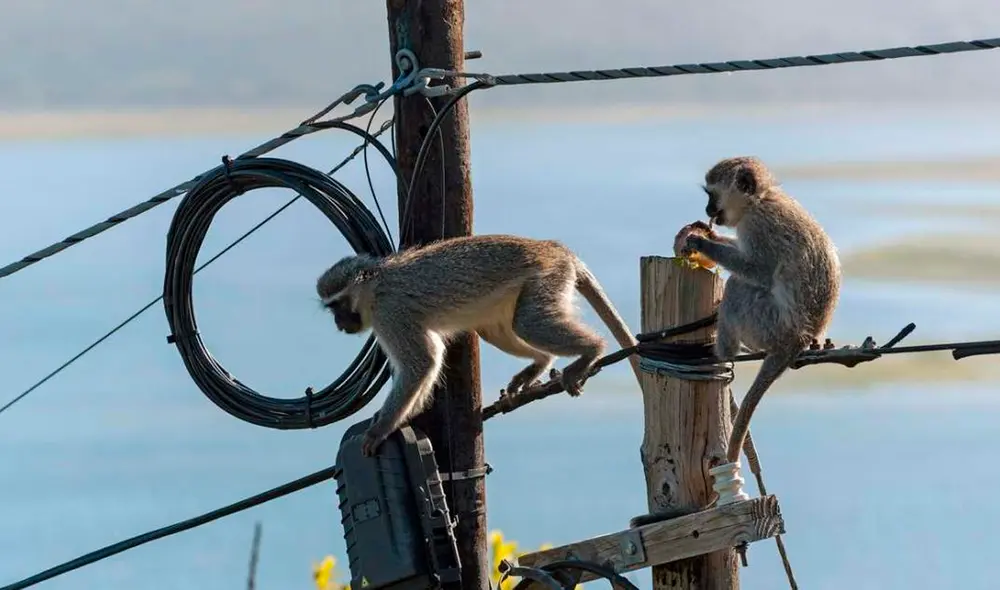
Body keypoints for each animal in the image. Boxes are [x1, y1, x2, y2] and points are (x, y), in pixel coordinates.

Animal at [316, 234, 643, 457]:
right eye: (331, 308)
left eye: (338, 304)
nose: (339, 323)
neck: (375, 287)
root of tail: (554, 247)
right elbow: (429, 361)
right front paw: (406, 413)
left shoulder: (390, 314)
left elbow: (421, 362)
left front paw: (383, 427)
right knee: (497, 329)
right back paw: (540, 363)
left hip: (548, 276)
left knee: (529, 322)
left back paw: (593, 349)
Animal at [679, 156, 841, 465]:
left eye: (711, 195)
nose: (707, 210)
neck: (761, 199)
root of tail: (798, 340)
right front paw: (709, 233)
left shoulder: (758, 227)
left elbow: (759, 270)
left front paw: (701, 242)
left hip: (766, 325)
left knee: (736, 286)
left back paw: (724, 352)